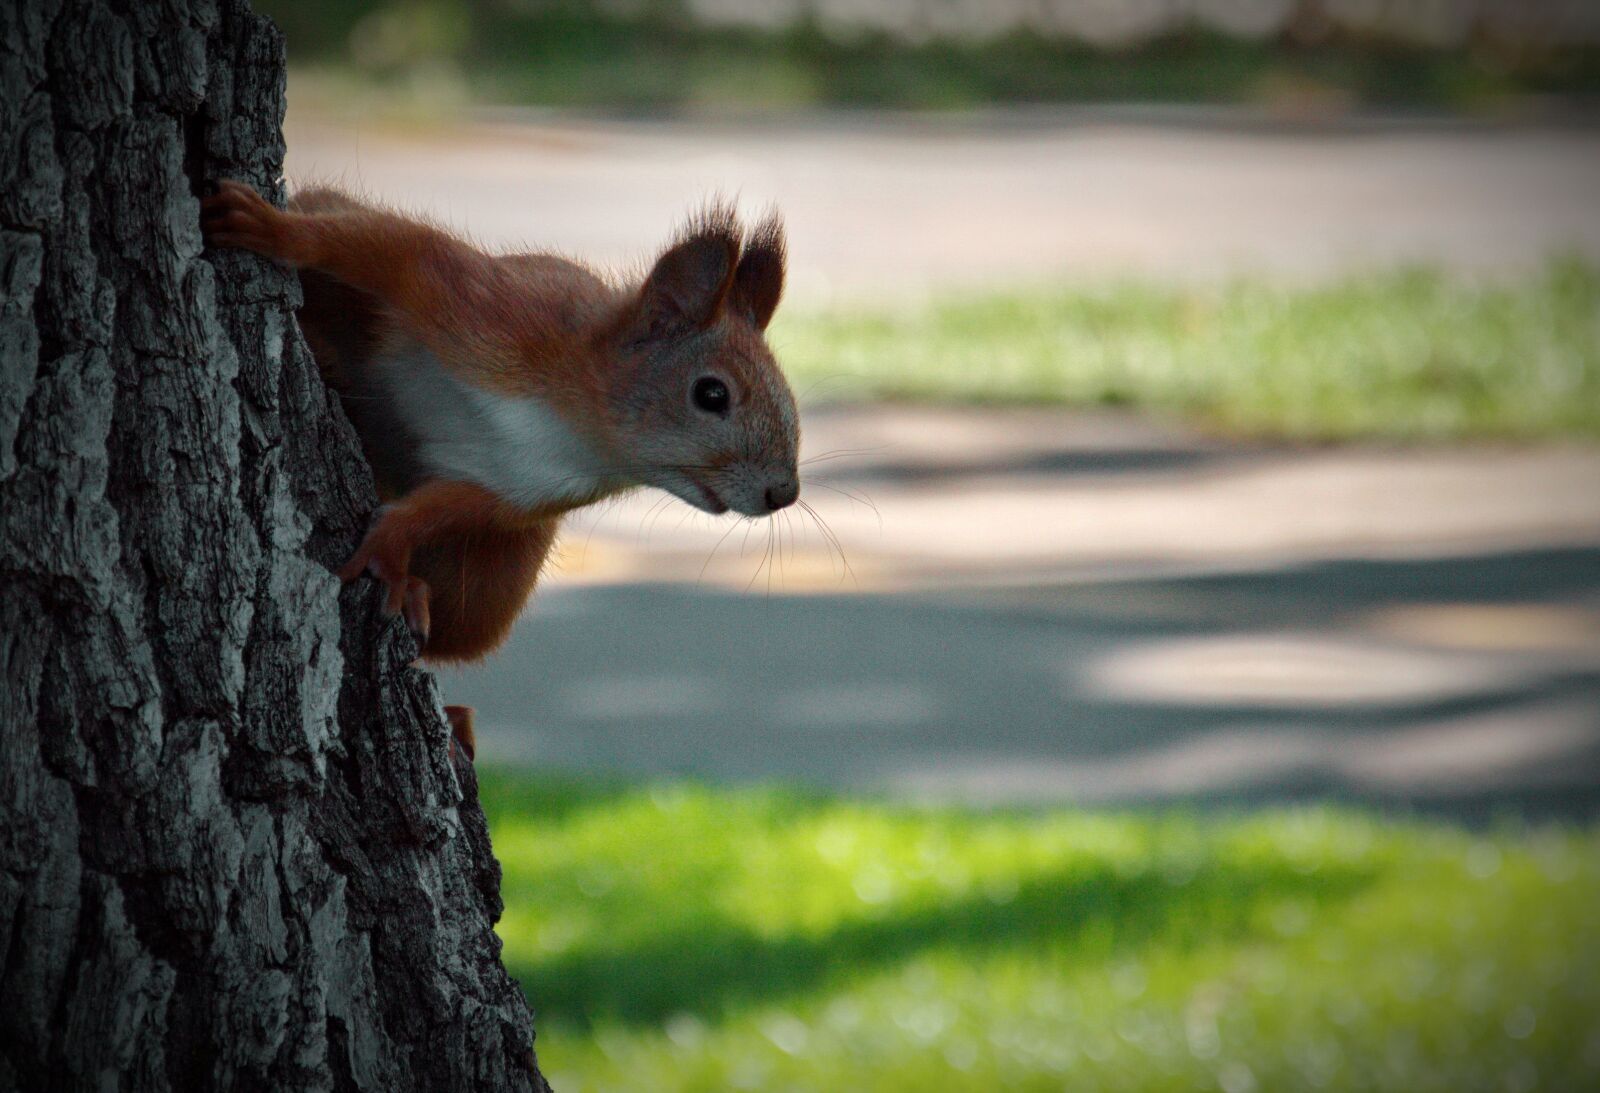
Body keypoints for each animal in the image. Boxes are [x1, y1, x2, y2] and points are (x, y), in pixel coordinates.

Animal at [200, 180, 800, 758]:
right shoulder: (491, 308)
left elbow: (440, 509)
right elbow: (392, 249)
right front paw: (272, 229)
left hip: (492, 584)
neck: (577, 427)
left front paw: (392, 551)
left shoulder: (516, 489)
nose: (784, 494)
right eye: (711, 394)